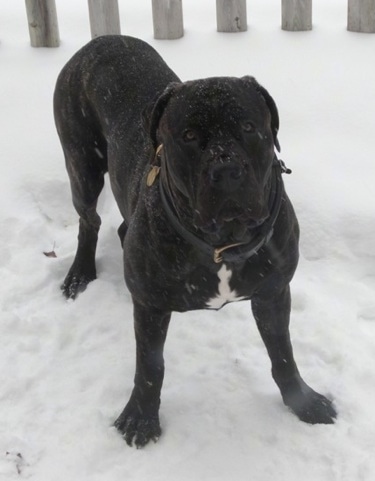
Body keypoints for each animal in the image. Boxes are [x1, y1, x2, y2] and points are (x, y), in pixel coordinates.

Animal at [53, 34, 338, 446]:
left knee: (122, 227)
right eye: (188, 136)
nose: (227, 169)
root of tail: (103, 39)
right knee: (88, 221)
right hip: (82, 164)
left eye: (249, 127)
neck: (223, 243)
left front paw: (303, 402)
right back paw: (79, 275)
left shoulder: (272, 292)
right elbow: (150, 368)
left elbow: (283, 354)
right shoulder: (152, 307)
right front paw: (140, 419)